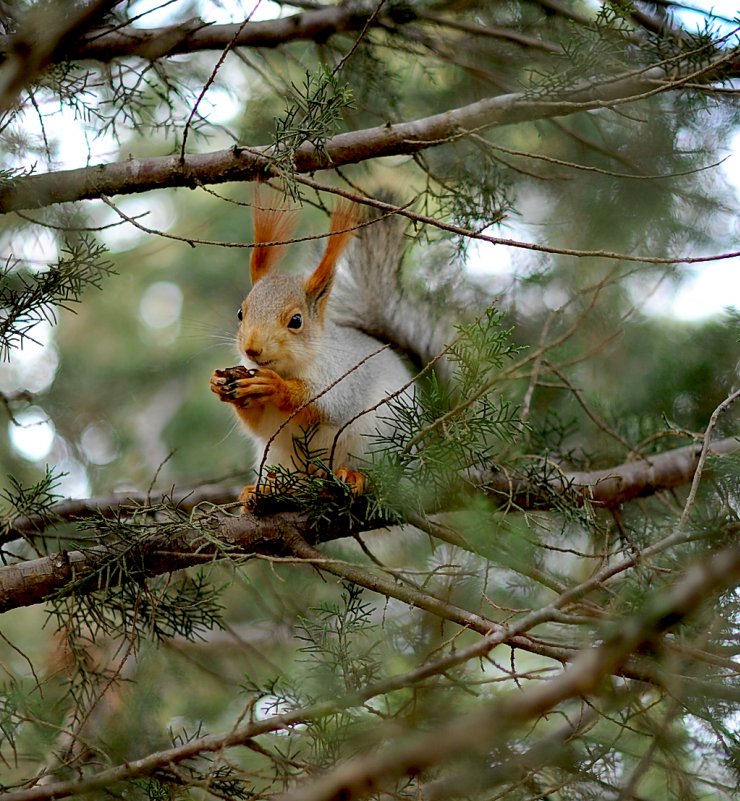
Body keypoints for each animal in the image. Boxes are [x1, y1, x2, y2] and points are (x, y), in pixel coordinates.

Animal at [208, 191, 430, 506]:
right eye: (240, 313)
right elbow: (259, 425)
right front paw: (220, 385)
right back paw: (267, 488)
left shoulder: (342, 376)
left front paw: (275, 387)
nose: (252, 349)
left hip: (376, 446)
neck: (288, 368)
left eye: (296, 321)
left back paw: (353, 477)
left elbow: (325, 405)